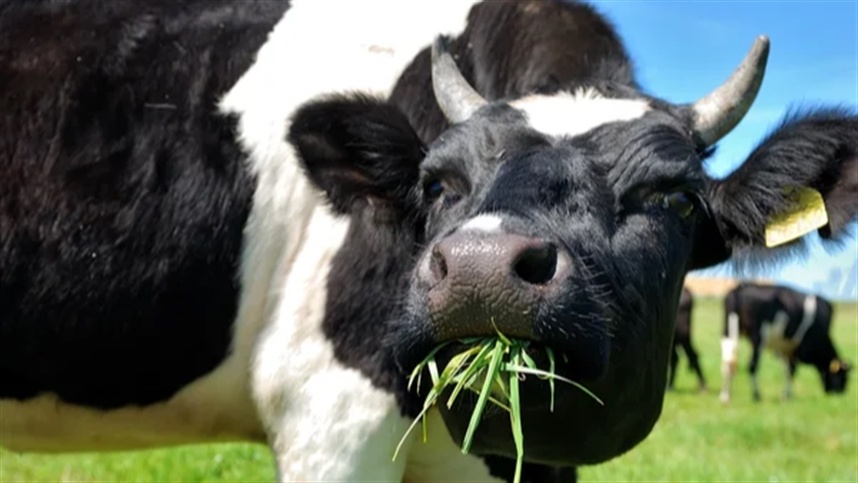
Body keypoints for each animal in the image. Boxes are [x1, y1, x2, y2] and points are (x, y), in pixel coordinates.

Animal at [716, 284, 848, 404]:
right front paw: (787, 396)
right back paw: (756, 395)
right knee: (752, 365)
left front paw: (786, 395)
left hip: (727, 332)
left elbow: (786, 370)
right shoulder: (797, 349)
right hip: (758, 337)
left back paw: (725, 396)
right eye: (843, 376)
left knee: (728, 363)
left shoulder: (785, 349)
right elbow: (792, 370)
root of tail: (739, 288)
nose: (841, 393)